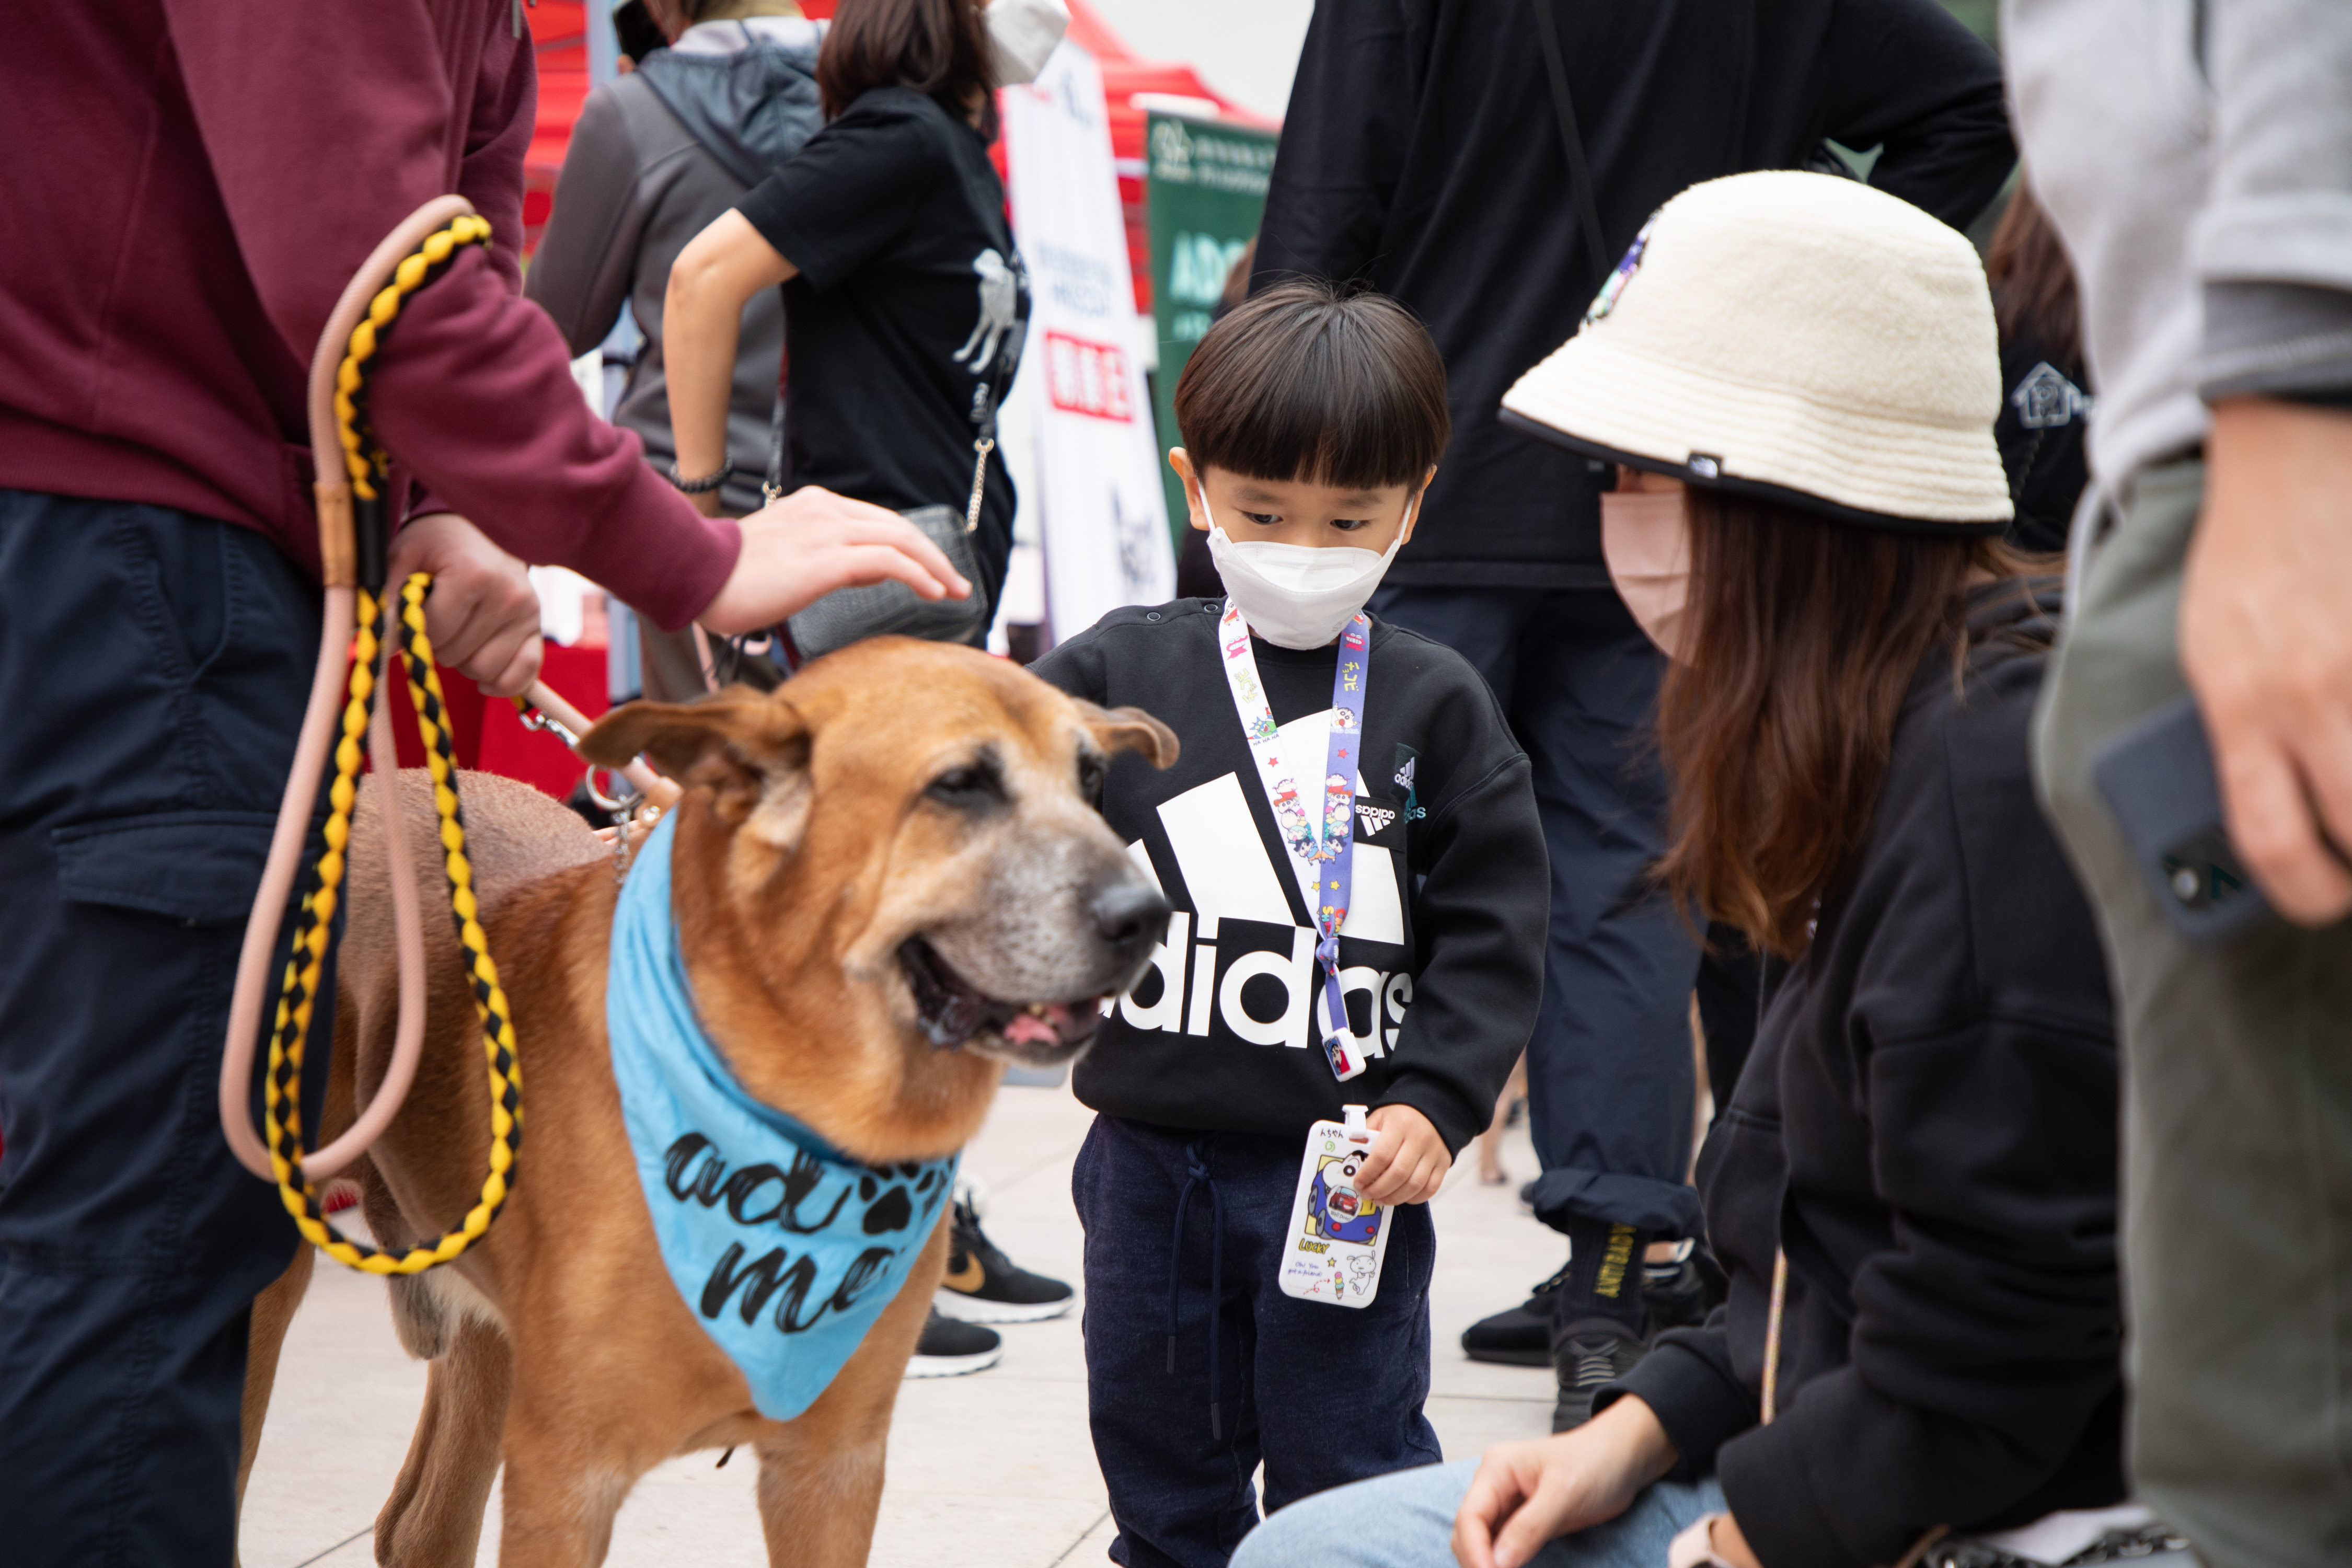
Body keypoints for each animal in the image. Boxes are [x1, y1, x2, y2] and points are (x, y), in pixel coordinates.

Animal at [238, 639, 1176, 1568]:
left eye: (1091, 779)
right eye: (959, 785)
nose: (1152, 916)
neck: (785, 1120)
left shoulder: (832, 1470)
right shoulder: (564, 1477)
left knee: (420, 1526)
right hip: (269, 1298)